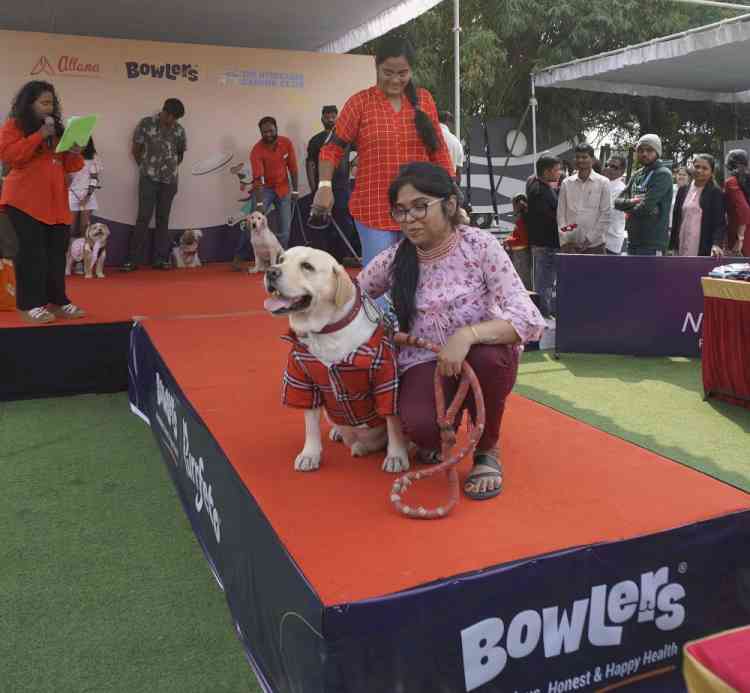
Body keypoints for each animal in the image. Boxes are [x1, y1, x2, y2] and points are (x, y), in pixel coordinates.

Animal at [266, 246, 412, 474]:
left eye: (307, 266)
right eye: (281, 259)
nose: (271, 272)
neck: (325, 332)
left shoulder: (386, 380)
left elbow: (393, 422)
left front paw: (396, 456)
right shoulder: (303, 381)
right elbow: (311, 425)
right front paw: (310, 454)